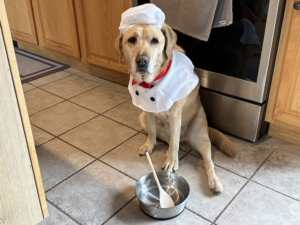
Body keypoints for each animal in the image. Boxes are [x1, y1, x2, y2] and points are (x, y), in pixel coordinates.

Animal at [115, 23, 237, 195]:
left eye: (155, 41)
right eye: (131, 40)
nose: (142, 60)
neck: (153, 82)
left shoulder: (175, 115)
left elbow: (174, 142)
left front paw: (172, 162)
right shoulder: (148, 111)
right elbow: (153, 133)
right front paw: (149, 146)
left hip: (202, 138)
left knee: (206, 161)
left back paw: (214, 182)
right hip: (142, 118)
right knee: (167, 138)